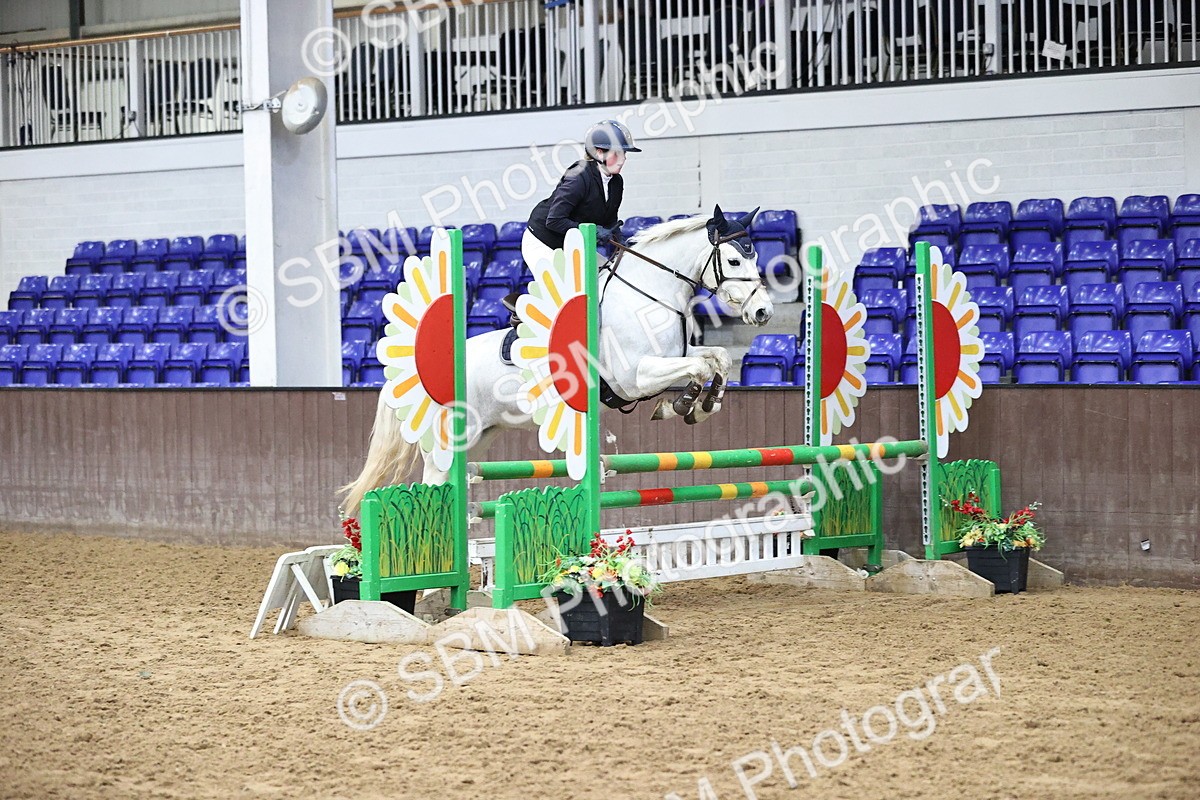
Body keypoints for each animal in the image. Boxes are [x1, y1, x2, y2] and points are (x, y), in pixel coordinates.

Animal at [341, 205, 775, 514]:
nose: (763, 312)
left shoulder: (671, 358)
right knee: (435, 482)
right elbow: (698, 368)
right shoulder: (634, 376)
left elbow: (717, 359)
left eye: (755, 258)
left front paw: (702, 404)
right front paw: (682, 404)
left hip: (481, 436)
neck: (649, 294)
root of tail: (413, 371)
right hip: (445, 439)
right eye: (734, 262)